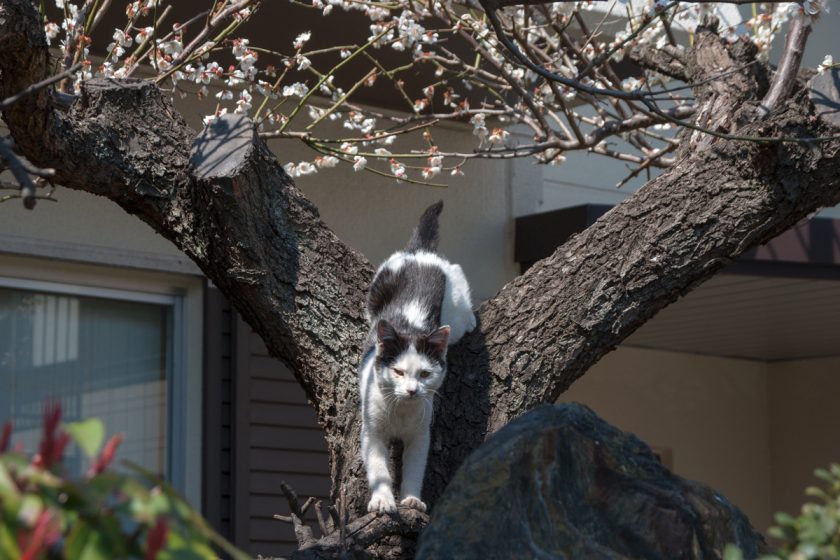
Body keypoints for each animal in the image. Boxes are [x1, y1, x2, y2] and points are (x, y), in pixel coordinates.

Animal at [360, 201, 476, 512]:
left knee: (459, 278)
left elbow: (414, 469)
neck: (400, 411)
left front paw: (411, 500)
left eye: (424, 374)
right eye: (398, 372)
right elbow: (378, 468)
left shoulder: (421, 435)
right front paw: (383, 500)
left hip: (454, 307)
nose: (412, 390)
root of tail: (420, 252)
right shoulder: (371, 432)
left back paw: (471, 320)